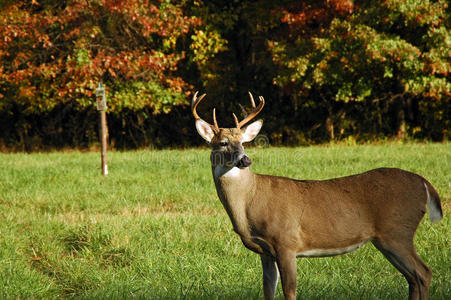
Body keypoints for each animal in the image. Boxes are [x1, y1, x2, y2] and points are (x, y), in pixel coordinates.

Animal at [192, 92, 444, 300]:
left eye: (244, 142)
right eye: (223, 143)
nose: (245, 160)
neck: (249, 203)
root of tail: (425, 184)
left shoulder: (286, 241)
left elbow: (290, 292)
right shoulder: (265, 252)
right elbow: (268, 292)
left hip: (398, 231)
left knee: (424, 272)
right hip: (388, 238)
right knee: (413, 278)